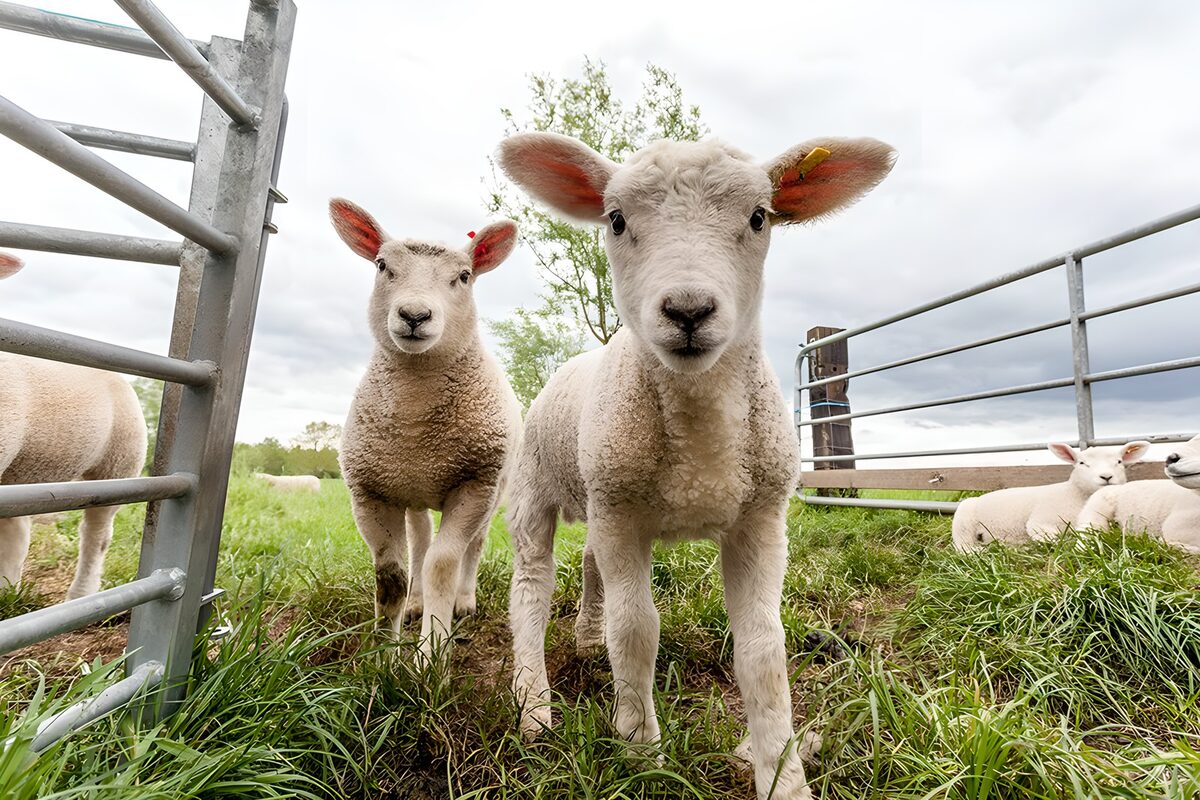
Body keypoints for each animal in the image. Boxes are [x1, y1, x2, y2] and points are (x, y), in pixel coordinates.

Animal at [329, 200, 522, 658]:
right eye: (382, 265)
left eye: (464, 276)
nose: (414, 316)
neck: (415, 425)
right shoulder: (369, 492)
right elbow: (392, 574)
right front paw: (382, 652)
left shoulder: (475, 483)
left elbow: (442, 564)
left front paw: (430, 652)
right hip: (411, 489)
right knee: (420, 540)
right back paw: (416, 604)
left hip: (496, 489)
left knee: (473, 546)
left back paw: (464, 601)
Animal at [498, 132, 897, 799]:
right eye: (615, 220)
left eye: (760, 217)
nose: (688, 311)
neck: (700, 444)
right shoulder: (621, 514)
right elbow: (635, 630)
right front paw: (640, 752)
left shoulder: (759, 518)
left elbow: (763, 650)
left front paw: (782, 774)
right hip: (536, 488)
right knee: (531, 585)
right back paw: (534, 707)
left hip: (599, 492)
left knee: (588, 565)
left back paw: (585, 638)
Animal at [951, 441, 1150, 552]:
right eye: (1082, 463)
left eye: (1119, 461)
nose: (1106, 476)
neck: (1075, 495)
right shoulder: (1040, 521)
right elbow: (1054, 539)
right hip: (963, 522)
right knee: (962, 546)